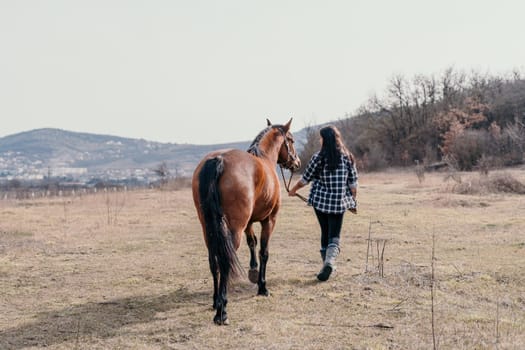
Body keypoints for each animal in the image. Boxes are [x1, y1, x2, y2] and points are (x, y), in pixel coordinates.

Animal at [191, 118, 298, 326]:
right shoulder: (268, 220)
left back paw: (216, 301)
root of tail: (218, 160)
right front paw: (262, 287)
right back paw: (222, 312)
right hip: (234, 230)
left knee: (214, 261)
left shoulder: (248, 223)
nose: (297, 162)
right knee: (225, 262)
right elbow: (264, 251)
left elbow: (252, 243)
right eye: (291, 140)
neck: (265, 159)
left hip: (208, 228)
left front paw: (253, 271)